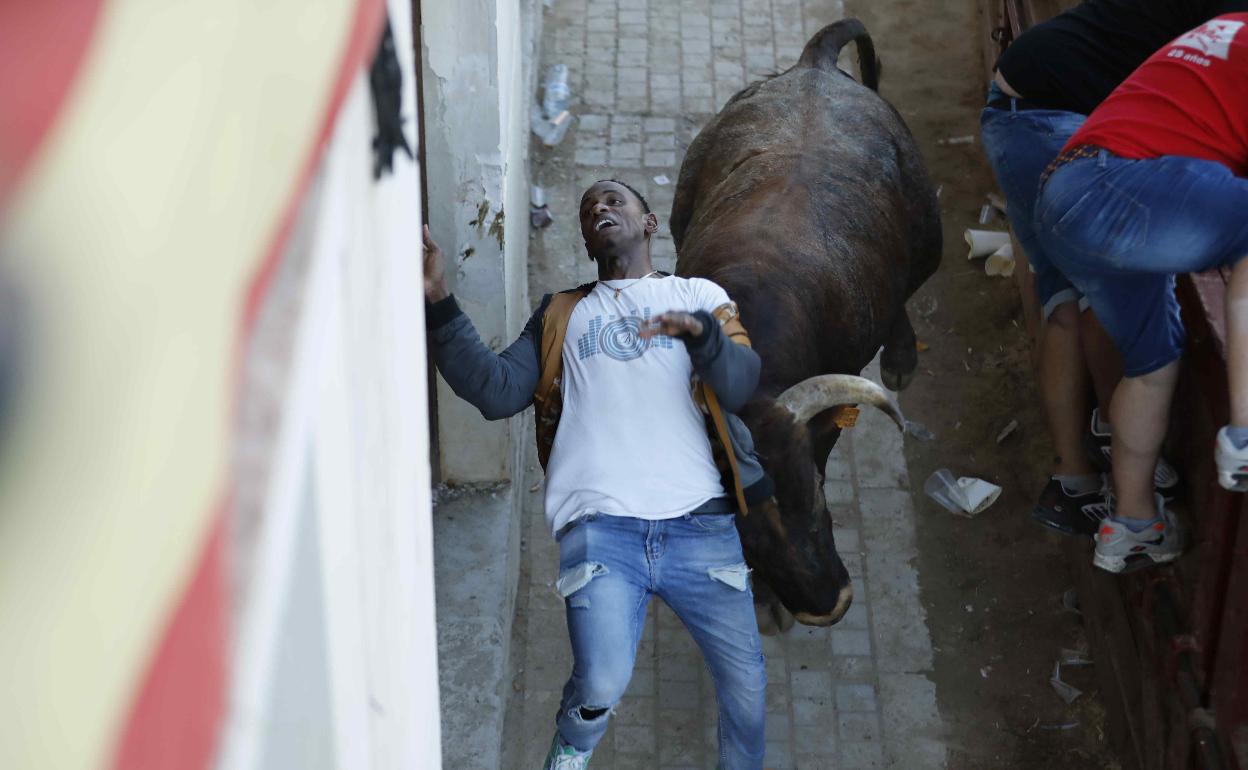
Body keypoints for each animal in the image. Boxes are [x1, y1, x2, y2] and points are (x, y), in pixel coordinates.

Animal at [668, 21, 938, 626]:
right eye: (737, 528)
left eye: (814, 488)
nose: (829, 605)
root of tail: (814, 64)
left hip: (930, 237)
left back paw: (903, 358)